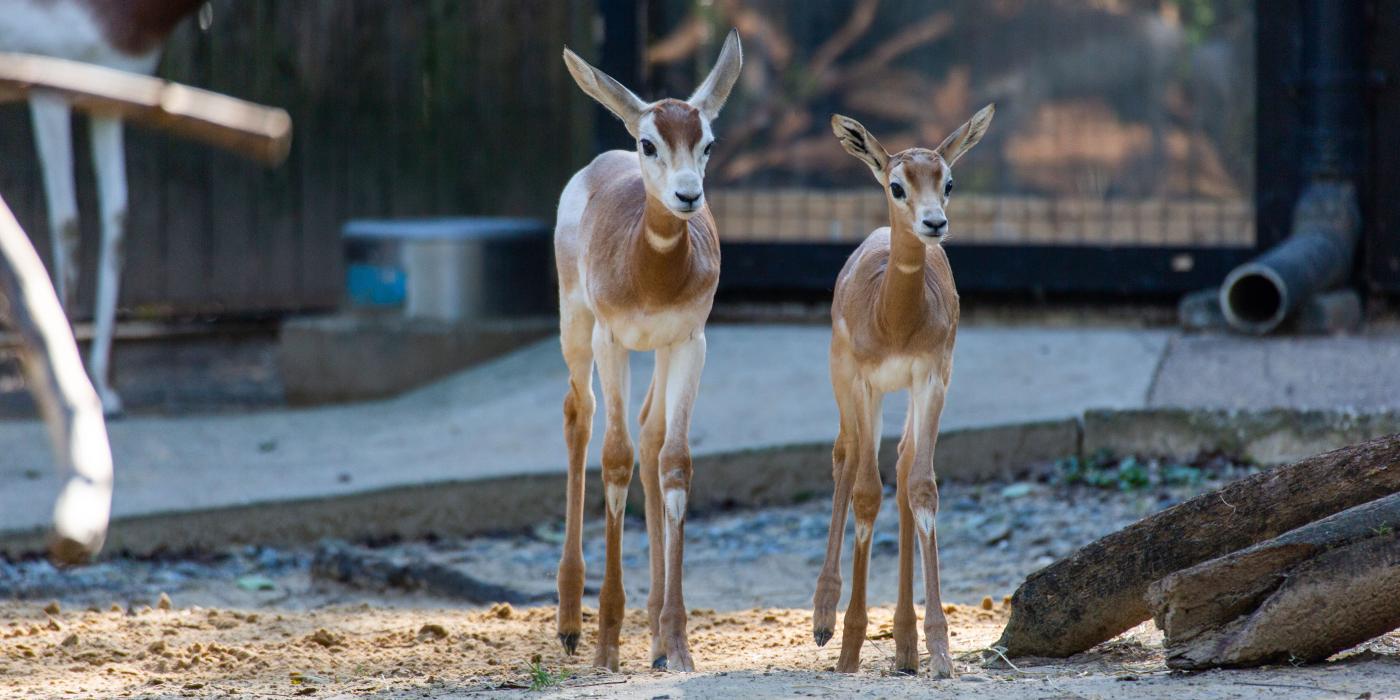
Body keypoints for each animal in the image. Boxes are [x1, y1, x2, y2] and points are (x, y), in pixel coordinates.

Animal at [551, 31, 744, 672]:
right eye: (649, 142)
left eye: (707, 142)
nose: (688, 195)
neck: (651, 269)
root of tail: (596, 165)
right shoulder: (611, 340)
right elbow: (615, 460)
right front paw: (607, 644)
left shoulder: (689, 341)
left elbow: (674, 463)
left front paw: (677, 644)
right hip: (576, 325)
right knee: (581, 416)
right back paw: (570, 623)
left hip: (656, 352)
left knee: (650, 432)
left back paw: (656, 633)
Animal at [812, 105, 996, 677]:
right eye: (897, 185)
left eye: (948, 182)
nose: (934, 222)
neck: (890, 316)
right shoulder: (860, 380)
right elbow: (864, 491)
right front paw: (847, 644)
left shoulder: (931, 376)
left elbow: (920, 487)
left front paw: (938, 650)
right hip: (846, 388)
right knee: (847, 458)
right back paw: (824, 619)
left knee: (898, 462)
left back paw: (906, 647)